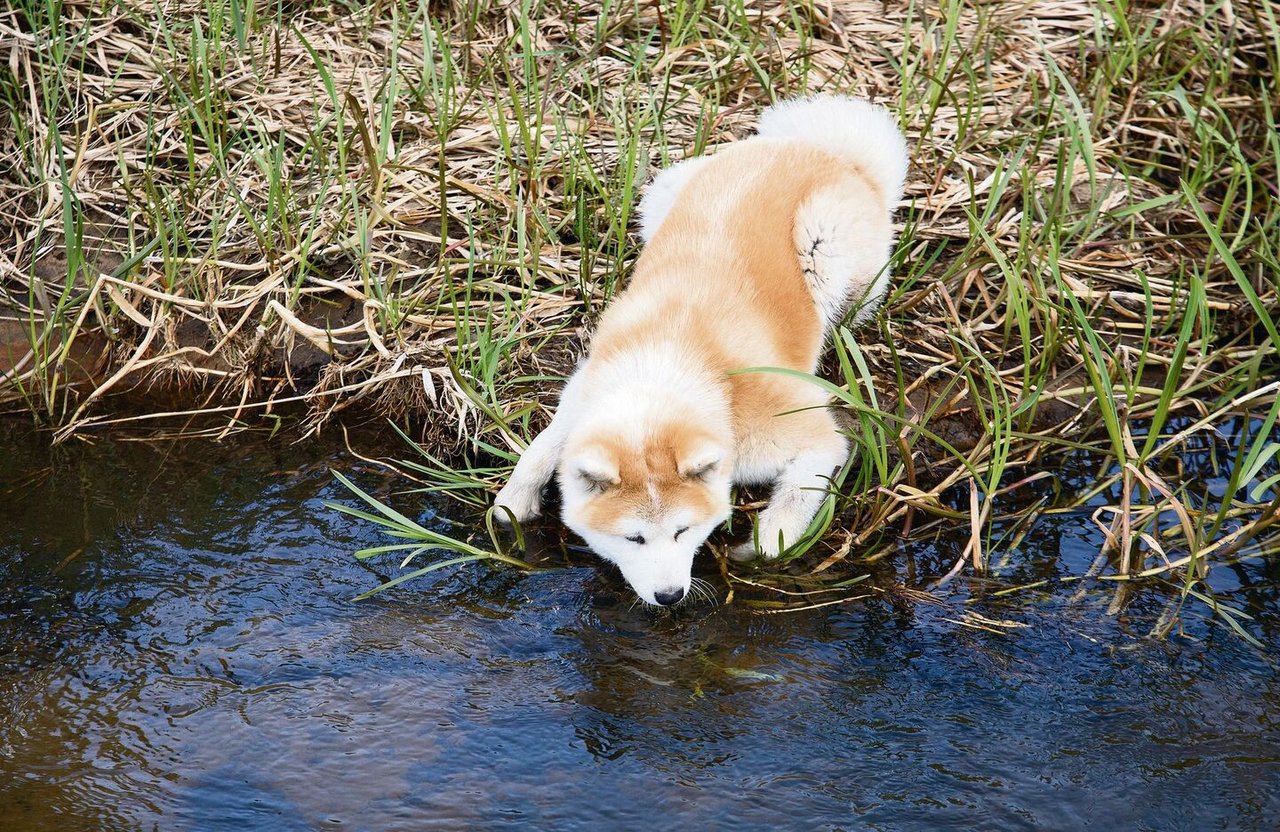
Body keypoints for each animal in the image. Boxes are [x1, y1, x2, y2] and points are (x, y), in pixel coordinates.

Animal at [491, 95, 911, 601]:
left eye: (683, 531)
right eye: (633, 538)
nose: (670, 596)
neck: (672, 358)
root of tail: (822, 149)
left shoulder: (812, 438)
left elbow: (792, 506)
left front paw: (763, 545)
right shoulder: (585, 389)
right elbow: (543, 446)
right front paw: (514, 499)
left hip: (826, 250)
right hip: (661, 194)